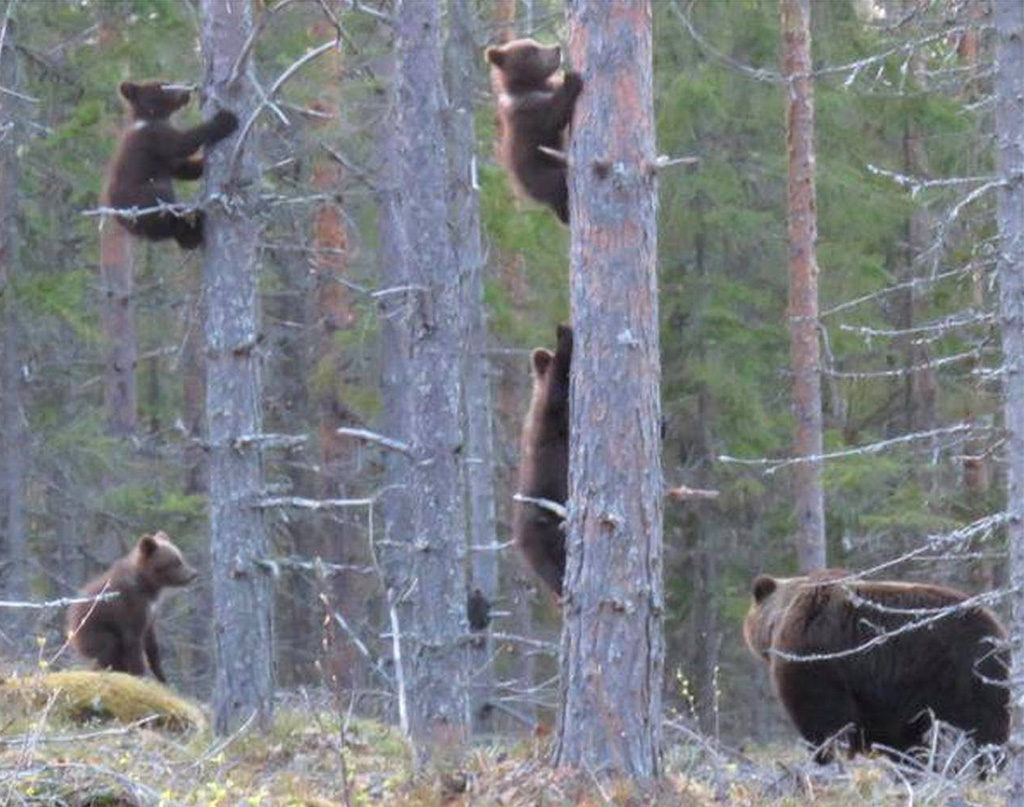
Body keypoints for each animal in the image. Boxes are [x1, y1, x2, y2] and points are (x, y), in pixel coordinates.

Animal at [66, 532, 199, 684]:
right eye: (175, 562)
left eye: (181, 557)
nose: (193, 574)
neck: (147, 585)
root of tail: (70, 628)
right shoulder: (130, 608)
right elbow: (133, 642)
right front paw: (141, 675)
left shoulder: (151, 612)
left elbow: (152, 644)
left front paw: (161, 676)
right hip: (96, 631)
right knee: (108, 650)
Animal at [104, 81, 239, 247]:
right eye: (163, 85)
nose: (188, 86)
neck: (151, 117)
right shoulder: (153, 137)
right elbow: (183, 143)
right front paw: (225, 120)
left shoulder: (166, 157)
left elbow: (181, 167)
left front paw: (201, 164)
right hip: (142, 197)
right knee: (163, 205)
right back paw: (191, 217)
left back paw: (191, 232)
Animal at [485, 38, 585, 224]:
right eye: (531, 51)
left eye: (535, 43)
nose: (557, 49)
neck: (532, 86)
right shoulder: (527, 111)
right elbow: (552, 117)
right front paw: (571, 79)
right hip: (538, 172)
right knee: (558, 183)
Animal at [741, 569, 1011, 766]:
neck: (781, 617)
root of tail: (998, 631)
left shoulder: (813, 659)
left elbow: (822, 720)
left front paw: (826, 758)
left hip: (955, 675)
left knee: (981, 729)